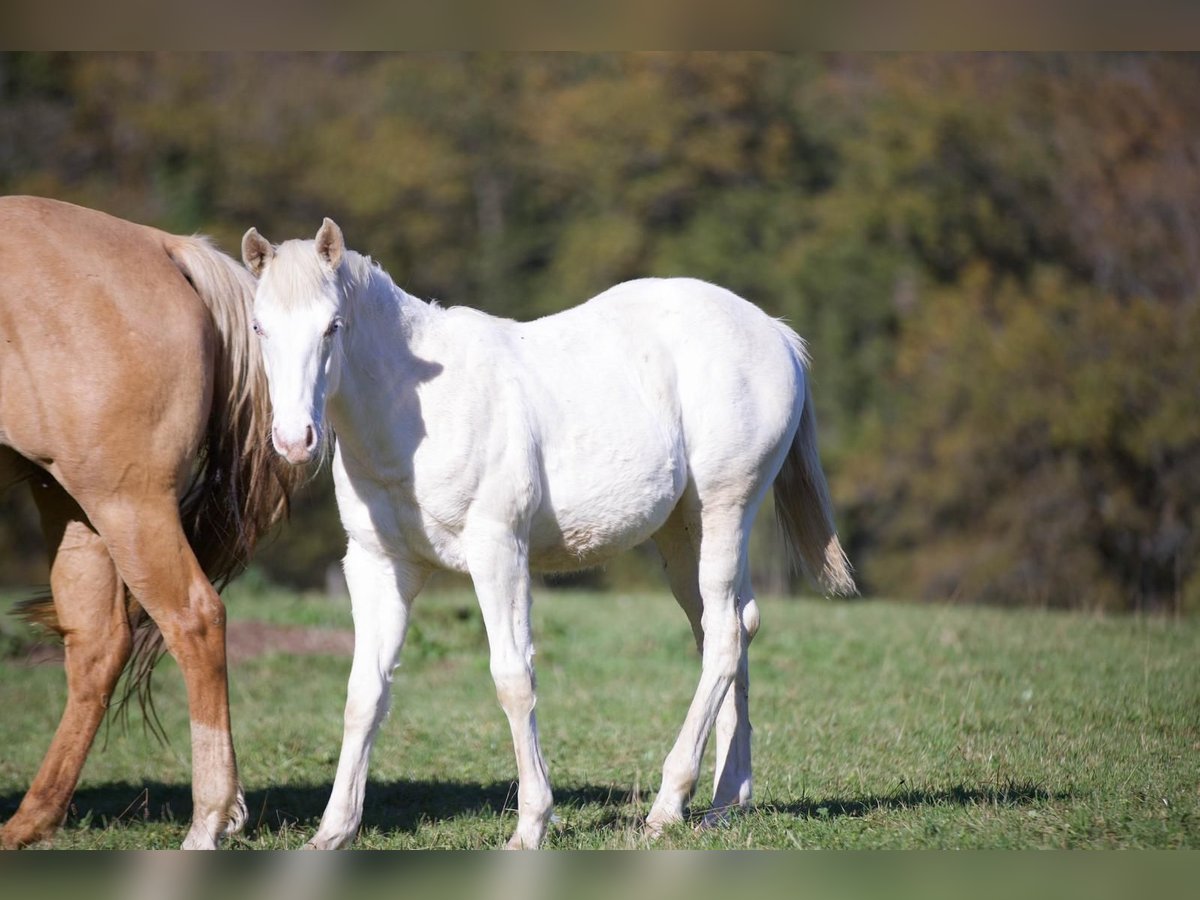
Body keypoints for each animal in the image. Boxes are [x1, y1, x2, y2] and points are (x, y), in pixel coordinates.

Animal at [0, 199, 300, 854]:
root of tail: (164, 246)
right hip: (75, 505)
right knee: (97, 643)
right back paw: (30, 821)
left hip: (125, 502)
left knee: (194, 618)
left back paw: (209, 818)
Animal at [241, 220, 854, 854]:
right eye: (260, 326)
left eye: (332, 325)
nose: (294, 440)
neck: (417, 412)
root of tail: (775, 333)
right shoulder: (379, 567)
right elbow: (364, 693)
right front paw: (333, 830)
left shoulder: (499, 553)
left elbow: (513, 679)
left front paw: (531, 825)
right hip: (686, 531)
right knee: (731, 625)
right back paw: (725, 803)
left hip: (726, 509)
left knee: (726, 639)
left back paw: (668, 805)